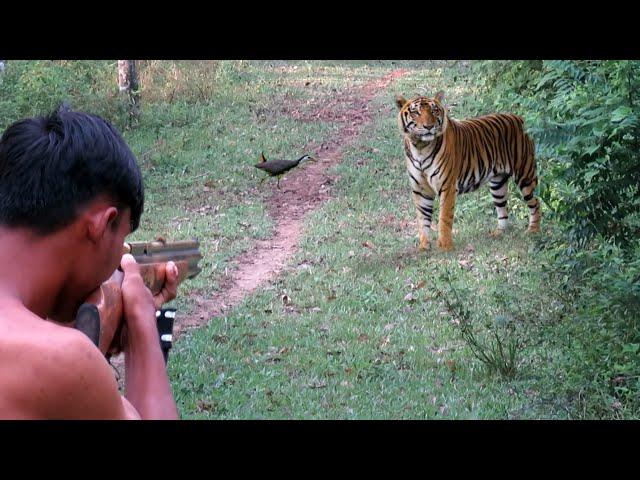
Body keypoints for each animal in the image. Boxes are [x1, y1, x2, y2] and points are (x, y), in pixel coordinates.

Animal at [396, 91, 540, 253]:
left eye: (434, 111)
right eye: (416, 112)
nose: (429, 126)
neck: (420, 147)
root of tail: (520, 118)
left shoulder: (447, 187)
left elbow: (444, 217)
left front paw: (445, 246)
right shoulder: (420, 190)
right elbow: (423, 219)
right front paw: (424, 246)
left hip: (525, 175)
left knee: (536, 202)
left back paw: (533, 230)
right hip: (498, 184)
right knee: (502, 208)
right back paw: (499, 232)